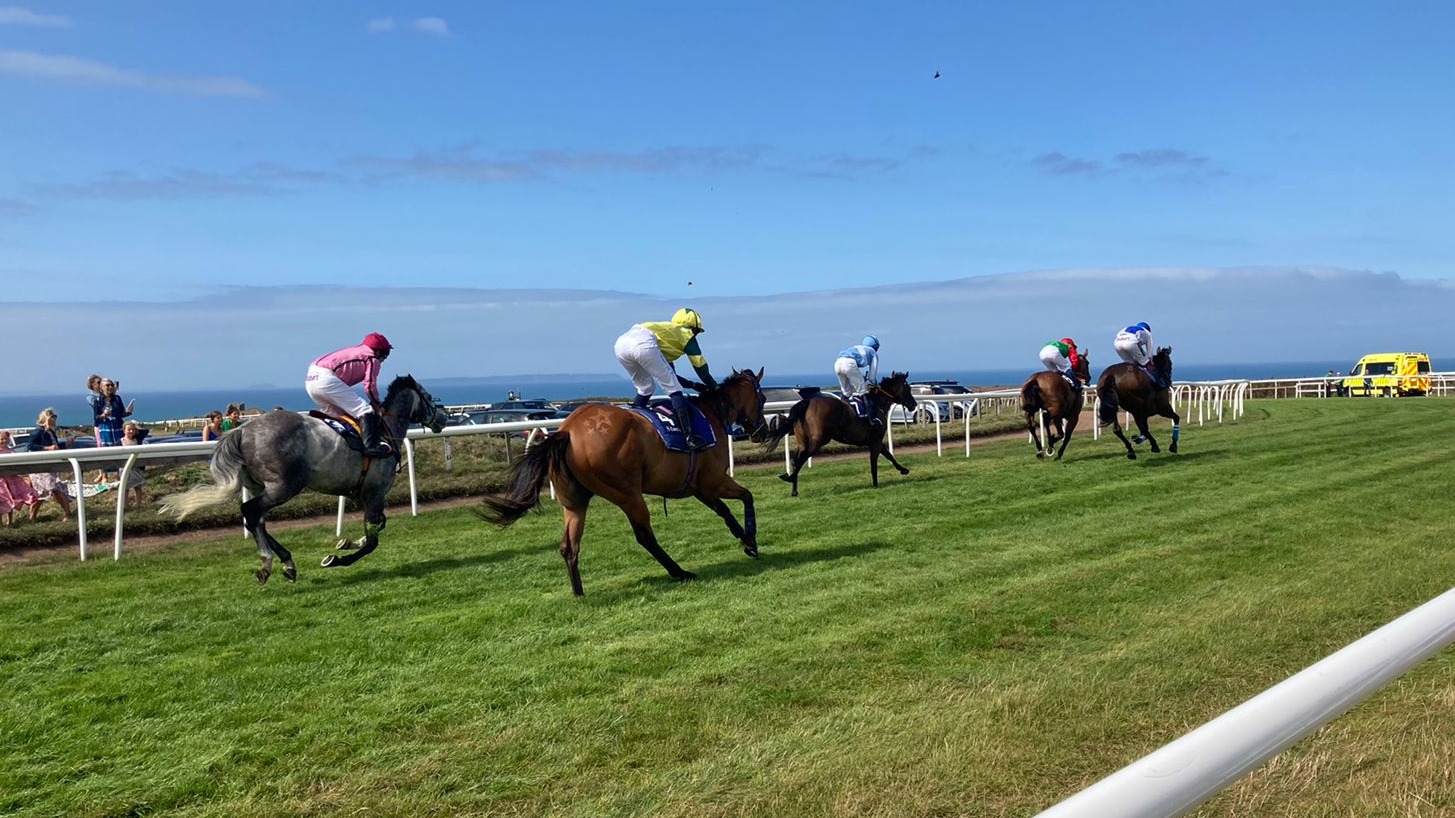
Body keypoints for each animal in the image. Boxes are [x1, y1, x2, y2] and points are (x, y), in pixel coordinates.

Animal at [157, 372, 442, 582]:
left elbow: (378, 526)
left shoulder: (365, 495)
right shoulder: (374, 492)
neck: (385, 432)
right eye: (428, 396)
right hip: (285, 486)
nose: (442, 417)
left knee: (256, 519)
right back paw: (267, 563)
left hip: (261, 484)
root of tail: (243, 430)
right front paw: (336, 558)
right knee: (251, 511)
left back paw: (287, 562)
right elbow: (372, 540)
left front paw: (346, 542)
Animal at [480, 368, 774, 590]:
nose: (761, 430)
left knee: (569, 546)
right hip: (627, 493)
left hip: (574, 500)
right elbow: (747, 496)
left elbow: (724, 511)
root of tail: (567, 431)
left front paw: (746, 541)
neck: (712, 414)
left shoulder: (699, 487)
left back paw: (579, 593)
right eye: (761, 397)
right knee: (644, 536)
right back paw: (679, 572)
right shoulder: (712, 480)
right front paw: (751, 539)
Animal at [756, 371, 913, 497]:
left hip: (803, 440)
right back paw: (789, 478)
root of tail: (808, 401)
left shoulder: (874, 440)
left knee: (796, 460)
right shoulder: (876, 440)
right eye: (908, 388)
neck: (878, 403)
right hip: (820, 440)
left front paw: (903, 469)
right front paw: (875, 484)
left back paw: (794, 489)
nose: (913, 405)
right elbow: (876, 461)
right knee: (802, 459)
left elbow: (888, 455)